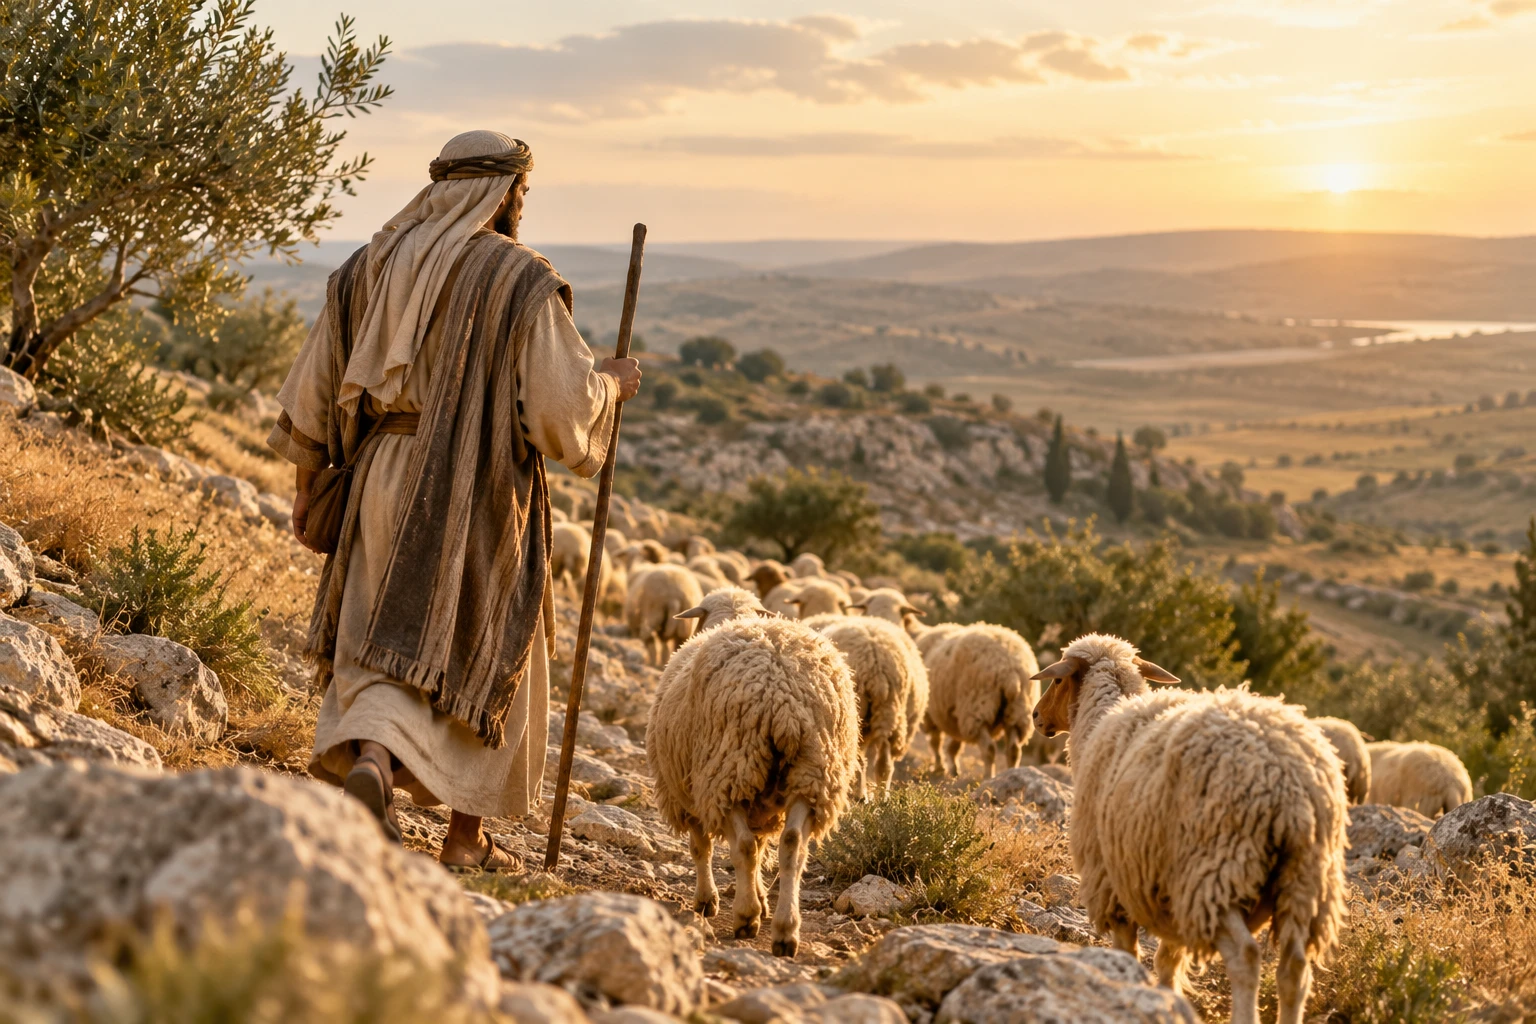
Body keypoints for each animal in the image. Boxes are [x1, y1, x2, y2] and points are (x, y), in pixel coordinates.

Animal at [647, 587, 860, 957]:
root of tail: (782, 697)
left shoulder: (689, 796)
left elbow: (701, 848)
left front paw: (708, 901)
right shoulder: (760, 802)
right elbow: (761, 852)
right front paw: (761, 898)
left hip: (728, 768)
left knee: (743, 846)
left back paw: (746, 919)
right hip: (812, 773)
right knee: (792, 845)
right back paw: (785, 930)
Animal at [813, 616, 929, 799]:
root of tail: (875, 664)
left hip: (858, 718)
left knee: (862, 761)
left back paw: (861, 795)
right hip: (891, 715)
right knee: (884, 763)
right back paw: (882, 796)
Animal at [921, 623, 1039, 779]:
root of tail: (1010, 673)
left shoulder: (931, 714)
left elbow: (936, 742)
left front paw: (940, 768)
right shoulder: (957, 715)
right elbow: (954, 744)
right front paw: (953, 769)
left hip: (978, 707)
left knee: (989, 748)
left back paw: (988, 778)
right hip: (1017, 711)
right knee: (1014, 749)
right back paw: (1010, 774)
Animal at [1032, 634, 1348, 1024]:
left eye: (1057, 679)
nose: (1035, 716)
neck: (1099, 720)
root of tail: (1289, 781)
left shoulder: (1112, 881)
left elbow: (1127, 952)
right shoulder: (1166, 888)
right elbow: (1167, 960)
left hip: (1215, 869)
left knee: (1246, 955)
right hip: (1305, 880)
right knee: (1295, 968)